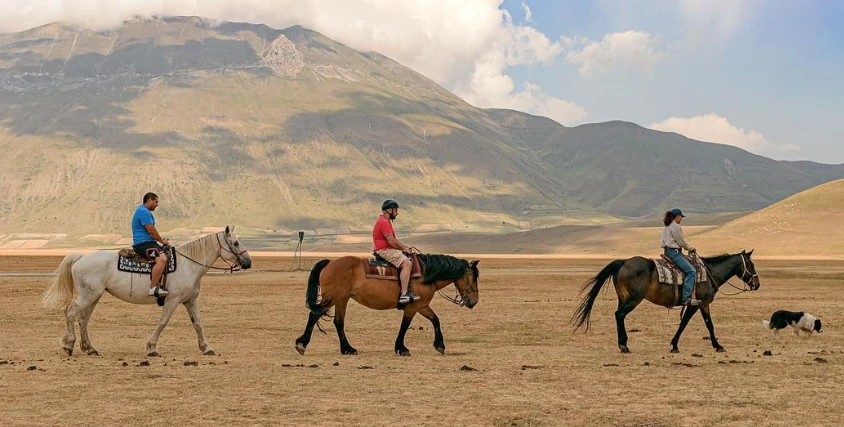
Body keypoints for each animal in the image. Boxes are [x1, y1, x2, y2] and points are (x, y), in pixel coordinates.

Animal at [42, 227, 251, 358]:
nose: (248, 262)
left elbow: (198, 324)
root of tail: (81, 257)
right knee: (70, 312)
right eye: (235, 243)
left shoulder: (190, 300)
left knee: (83, 318)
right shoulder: (172, 300)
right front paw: (152, 348)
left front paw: (206, 348)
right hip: (88, 295)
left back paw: (89, 348)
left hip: (94, 296)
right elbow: (162, 322)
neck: (189, 265)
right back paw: (68, 345)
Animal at [296, 254, 482, 358]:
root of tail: (330, 263)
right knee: (314, 314)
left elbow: (435, 320)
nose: (474, 301)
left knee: (338, 322)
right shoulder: (412, 307)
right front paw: (401, 348)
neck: (425, 273)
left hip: (342, 299)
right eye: (473, 278)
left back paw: (348, 349)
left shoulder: (422, 306)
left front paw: (440, 345)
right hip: (333, 298)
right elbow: (405, 325)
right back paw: (301, 344)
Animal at [572, 251, 760, 354]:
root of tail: (624, 262)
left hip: (623, 298)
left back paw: (622, 344)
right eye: (751, 264)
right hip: (633, 299)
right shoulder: (697, 303)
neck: (709, 273)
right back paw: (624, 345)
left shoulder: (702, 305)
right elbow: (693, 324)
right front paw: (717, 346)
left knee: (619, 316)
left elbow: (706, 324)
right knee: (619, 314)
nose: (757, 284)